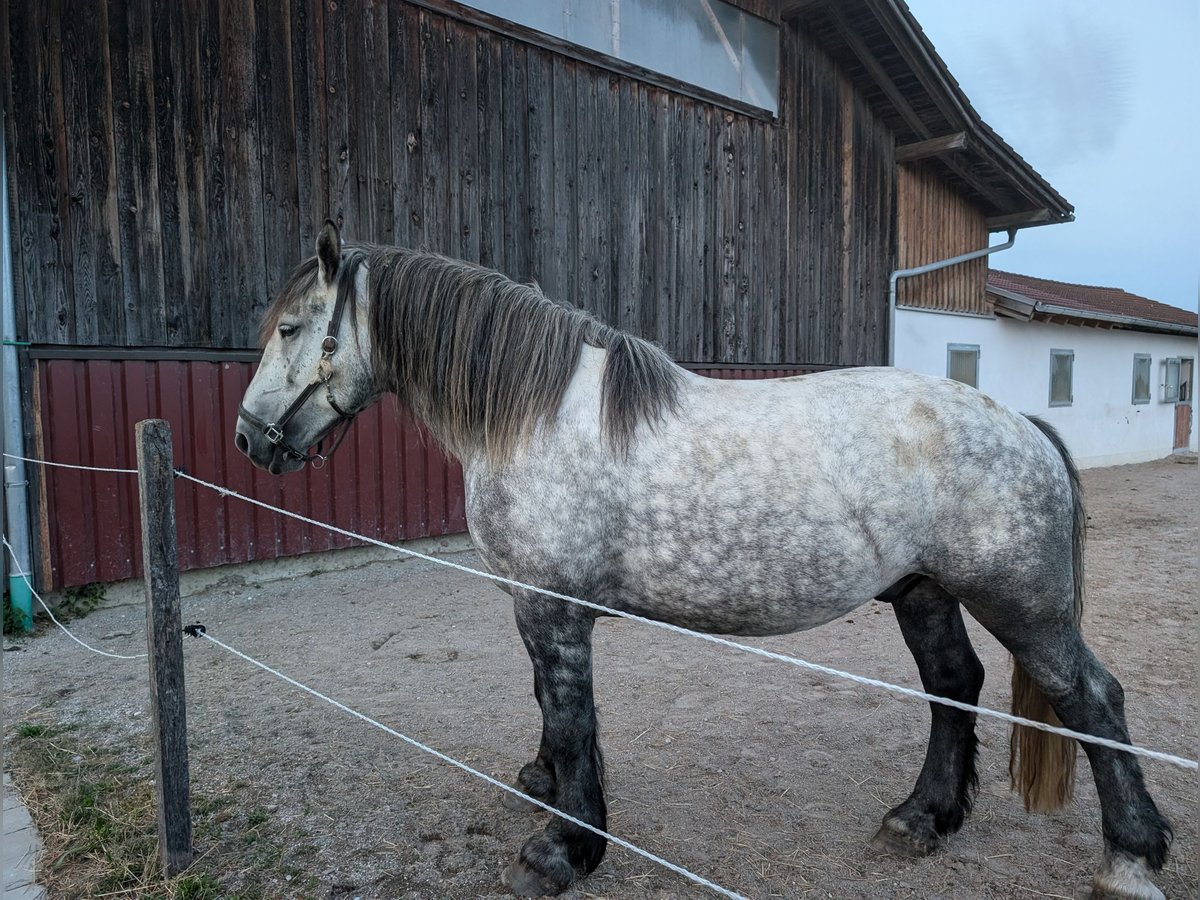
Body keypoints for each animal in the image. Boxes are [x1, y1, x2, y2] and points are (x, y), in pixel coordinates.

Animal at [234, 220, 1171, 900]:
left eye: (290, 327)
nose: (250, 438)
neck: (539, 415)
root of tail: (1022, 427)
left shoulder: (550, 607)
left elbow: (571, 717)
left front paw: (563, 848)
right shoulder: (535, 604)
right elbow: (547, 704)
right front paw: (545, 788)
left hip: (1021, 602)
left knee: (1090, 699)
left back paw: (1131, 856)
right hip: (924, 592)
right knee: (953, 687)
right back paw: (921, 819)